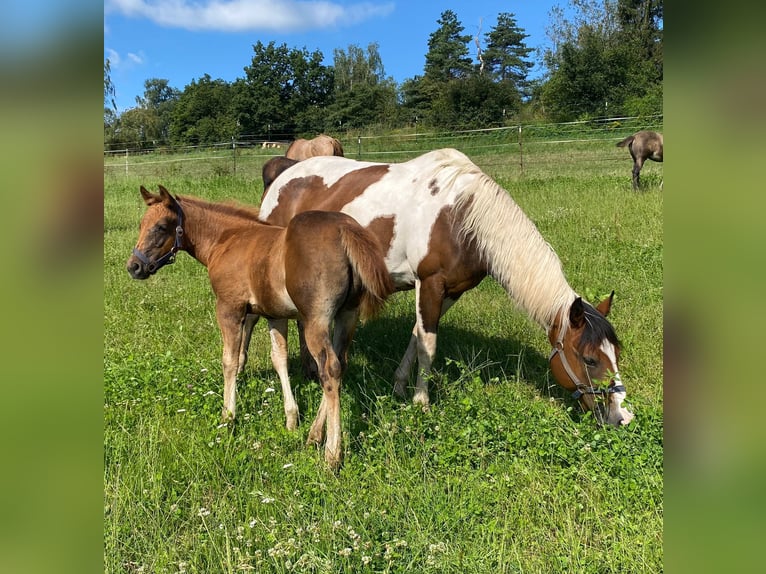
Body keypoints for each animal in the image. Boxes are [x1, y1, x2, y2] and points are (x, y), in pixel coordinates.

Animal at [127, 187, 392, 470]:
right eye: (141, 224)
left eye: (161, 227)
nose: (134, 266)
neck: (226, 239)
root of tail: (344, 230)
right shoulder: (274, 314)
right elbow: (278, 359)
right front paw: (291, 419)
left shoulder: (229, 307)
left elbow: (230, 361)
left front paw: (228, 416)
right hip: (347, 315)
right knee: (340, 363)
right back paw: (313, 435)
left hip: (316, 320)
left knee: (329, 369)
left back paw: (332, 454)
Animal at [262, 148, 636, 428]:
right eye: (589, 359)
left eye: (616, 354)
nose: (621, 416)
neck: (462, 217)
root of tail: (284, 175)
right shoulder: (430, 283)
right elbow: (429, 343)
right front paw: (421, 401)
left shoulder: (451, 291)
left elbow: (417, 336)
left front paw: (400, 385)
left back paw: (313, 370)